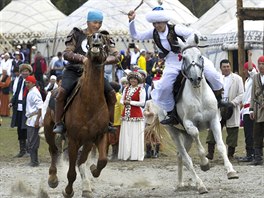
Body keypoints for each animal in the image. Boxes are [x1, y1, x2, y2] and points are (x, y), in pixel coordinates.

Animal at [44, 31, 109, 197]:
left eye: (105, 41)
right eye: (91, 38)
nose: (97, 37)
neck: (90, 103)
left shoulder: (98, 136)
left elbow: (102, 161)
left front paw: (94, 170)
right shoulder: (73, 140)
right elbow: (71, 173)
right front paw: (68, 191)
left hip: (87, 142)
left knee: (81, 160)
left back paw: (86, 186)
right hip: (49, 129)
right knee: (53, 150)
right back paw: (53, 178)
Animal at [159, 34, 239, 194]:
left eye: (200, 56)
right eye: (183, 58)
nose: (196, 79)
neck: (198, 94)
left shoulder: (214, 121)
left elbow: (221, 146)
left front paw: (231, 171)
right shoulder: (189, 124)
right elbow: (198, 139)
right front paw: (204, 163)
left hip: (186, 136)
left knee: (180, 156)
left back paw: (180, 184)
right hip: (175, 133)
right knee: (186, 158)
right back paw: (200, 185)